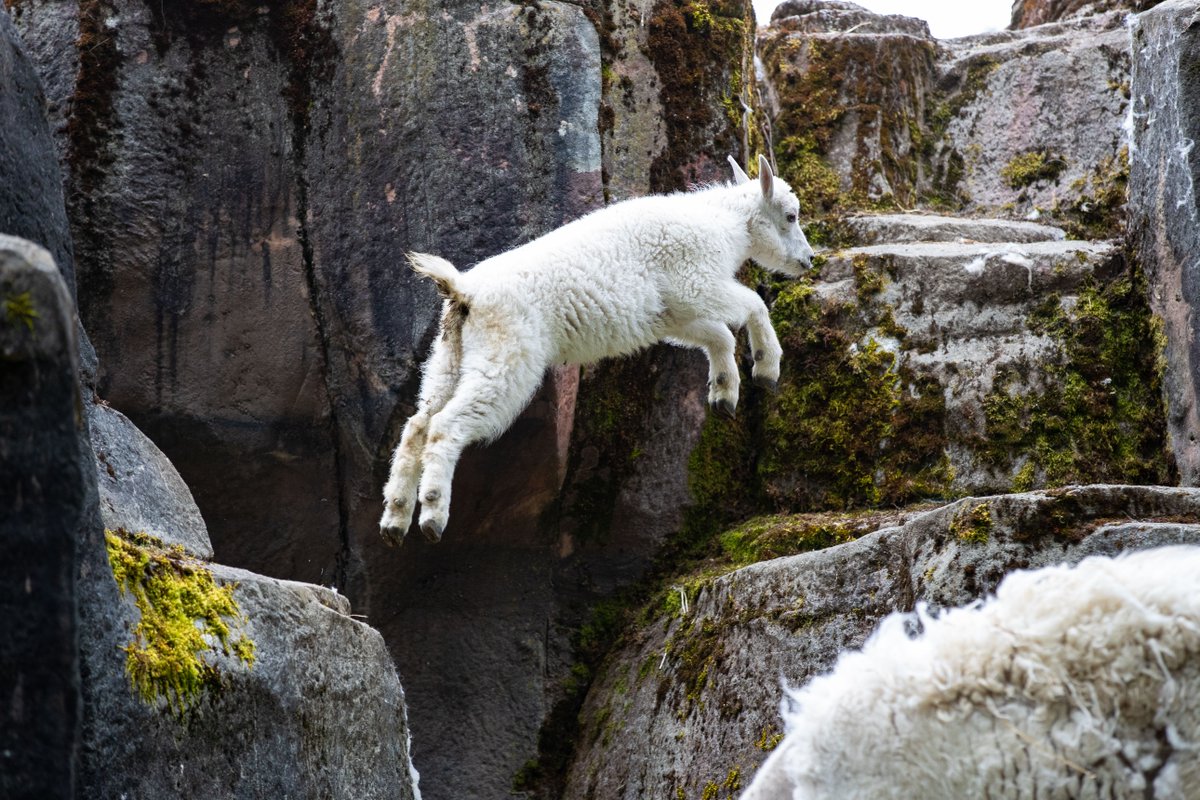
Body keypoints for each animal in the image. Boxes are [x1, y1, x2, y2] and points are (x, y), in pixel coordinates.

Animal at [380, 155, 814, 544]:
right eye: (791, 215)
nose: (809, 260)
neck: (726, 226)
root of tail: (463, 291)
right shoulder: (696, 283)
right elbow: (753, 305)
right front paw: (766, 368)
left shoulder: (674, 314)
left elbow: (718, 335)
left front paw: (724, 392)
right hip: (506, 356)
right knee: (445, 426)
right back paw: (432, 515)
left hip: (448, 358)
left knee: (417, 425)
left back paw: (395, 519)